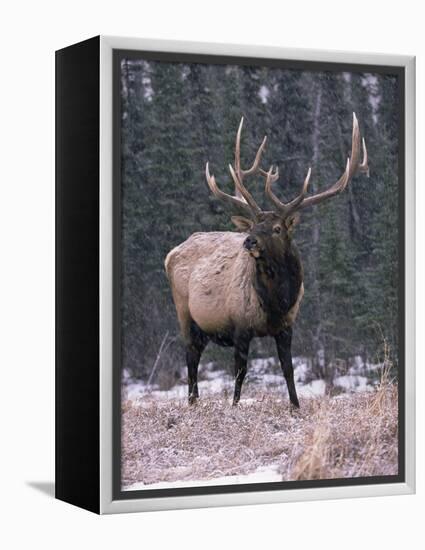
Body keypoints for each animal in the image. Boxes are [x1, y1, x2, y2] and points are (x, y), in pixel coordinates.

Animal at [164, 115, 366, 410]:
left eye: (277, 228)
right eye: (254, 225)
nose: (249, 241)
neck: (276, 302)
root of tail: (170, 254)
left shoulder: (287, 326)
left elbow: (288, 369)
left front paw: (295, 406)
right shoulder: (240, 326)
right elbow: (240, 371)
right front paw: (234, 406)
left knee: (195, 355)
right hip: (185, 313)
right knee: (191, 358)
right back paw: (192, 402)